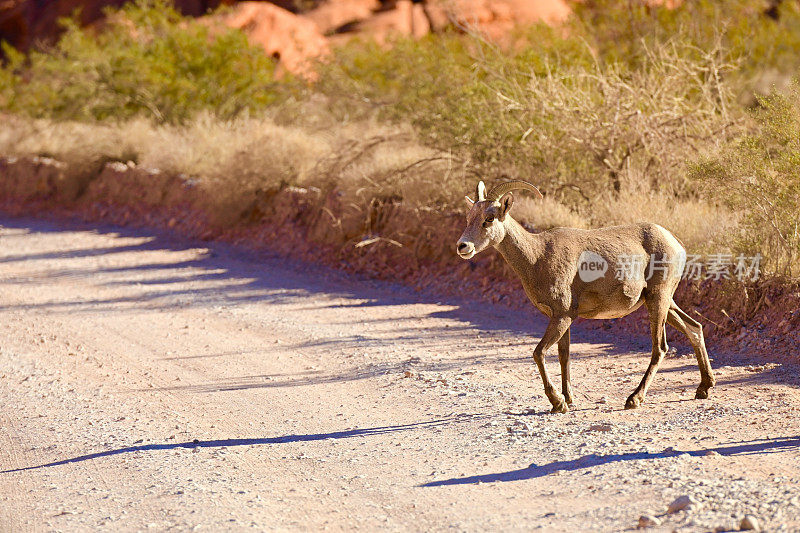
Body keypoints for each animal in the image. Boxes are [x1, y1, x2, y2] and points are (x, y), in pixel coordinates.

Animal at [460, 179, 716, 412]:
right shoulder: (563, 318)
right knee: (694, 328)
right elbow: (564, 355)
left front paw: (558, 403)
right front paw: (568, 400)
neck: (537, 256)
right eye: (469, 217)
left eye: (489, 218)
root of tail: (676, 243)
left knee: (660, 347)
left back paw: (634, 399)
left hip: (659, 300)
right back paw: (704, 388)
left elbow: (539, 353)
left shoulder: (562, 316)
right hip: (663, 302)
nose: (463, 247)